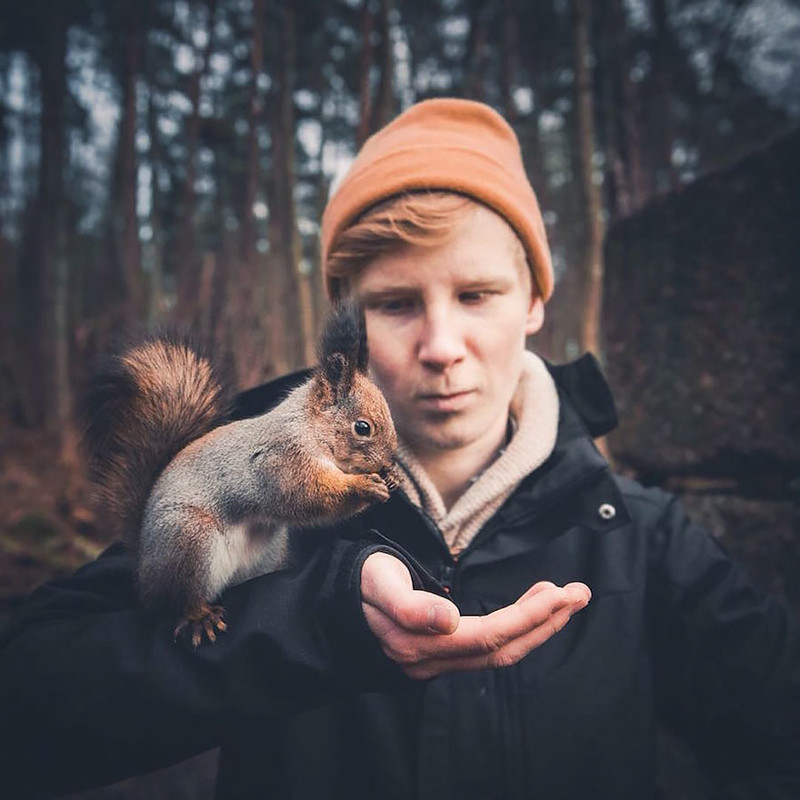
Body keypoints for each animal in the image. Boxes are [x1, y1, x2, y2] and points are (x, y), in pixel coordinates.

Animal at [84, 304, 404, 648]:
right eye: (363, 427)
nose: (388, 458)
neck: (311, 430)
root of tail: (144, 566)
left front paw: (393, 476)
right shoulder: (282, 461)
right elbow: (308, 496)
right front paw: (364, 487)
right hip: (188, 539)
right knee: (177, 598)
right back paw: (198, 616)